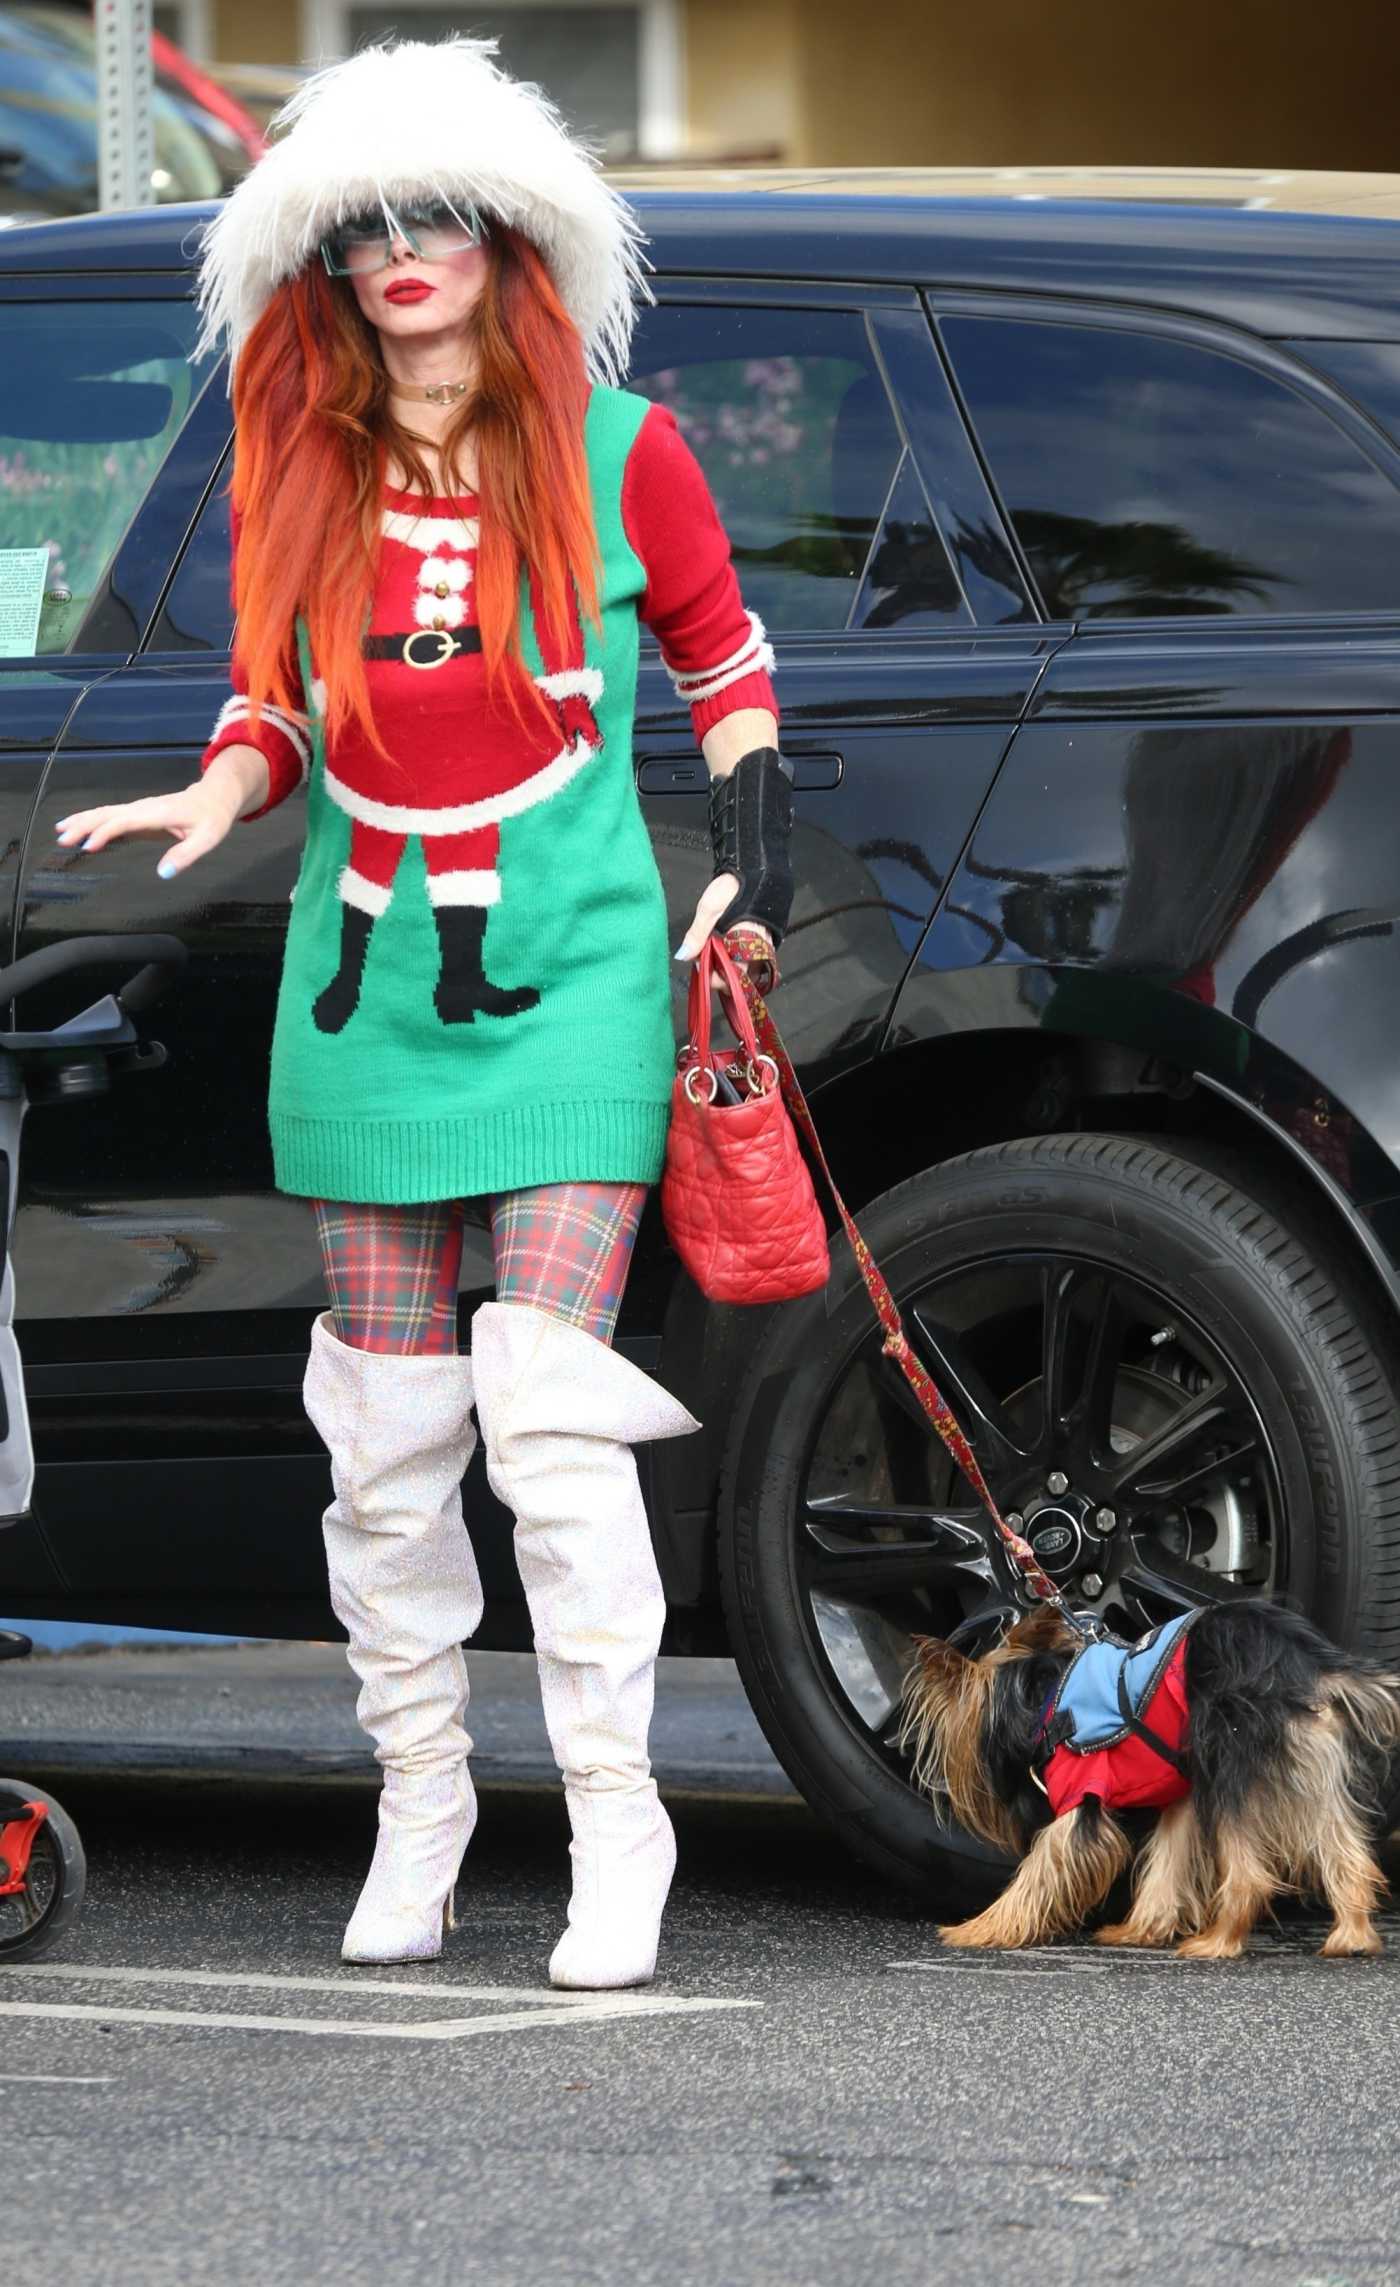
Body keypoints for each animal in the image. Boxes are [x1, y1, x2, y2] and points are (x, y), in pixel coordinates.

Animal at [896, 1600, 1400, 1957]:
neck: (1043, 1703)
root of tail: (1307, 1663)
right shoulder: (1178, 1792)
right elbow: (1168, 1862)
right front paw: (1141, 1930)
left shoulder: (1080, 1795)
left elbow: (1040, 1869)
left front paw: (981, 1928)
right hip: (1311, 1762)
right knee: (1344, 1849)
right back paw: (1352, 1937)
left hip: (1231, 1759)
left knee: (1249, 1875)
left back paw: (1217, 1943)